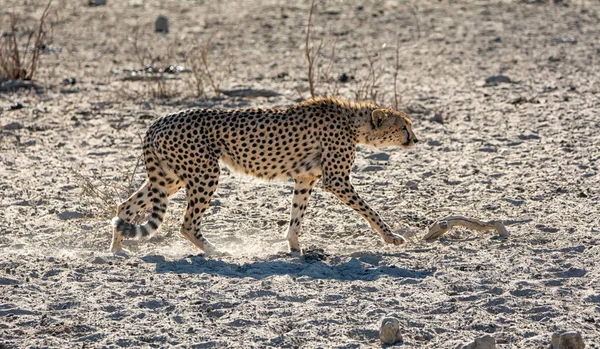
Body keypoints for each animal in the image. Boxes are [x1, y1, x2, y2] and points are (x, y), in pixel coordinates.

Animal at [111, 96, 418, 254]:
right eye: (404, 126)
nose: (415, 139)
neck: (354, 122)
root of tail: (159, 120)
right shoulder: (336, 180)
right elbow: (369, 210)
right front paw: (391, 237)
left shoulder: (306, 178)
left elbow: (297, 214)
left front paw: (295, 247)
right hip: (205, 172)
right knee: (186, 224)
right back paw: (215, 251)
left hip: (171, 177)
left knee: (125, 205)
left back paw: (116, 249)